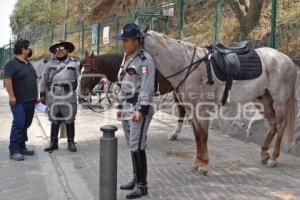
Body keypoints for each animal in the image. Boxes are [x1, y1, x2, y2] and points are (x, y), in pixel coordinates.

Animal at [144, 30, 298, 175]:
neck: (189, 66)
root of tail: (286, 59)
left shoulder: (202, 110)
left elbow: (203, 136)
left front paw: (203, 166)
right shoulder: (192, 110)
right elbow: (197, 135)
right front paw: (197, 164)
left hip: (279, 102)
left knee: (280, 125)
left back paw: (273, 158)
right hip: (263, 100)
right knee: (273, 124)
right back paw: (264, 154)